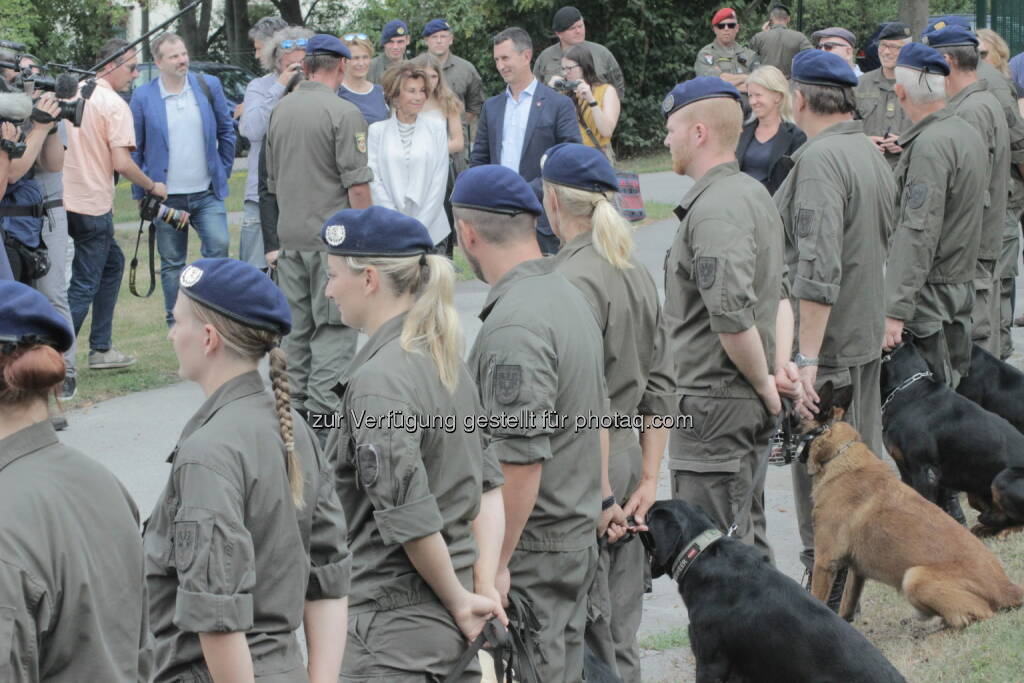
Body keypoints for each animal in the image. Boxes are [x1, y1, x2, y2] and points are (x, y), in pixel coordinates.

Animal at [798, 382, 1024, 626]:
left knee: (976, 615)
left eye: (792, 415)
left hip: (914, 577)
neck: (837, 454)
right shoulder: (856, 570)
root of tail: (1006, 587)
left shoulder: (824, 562)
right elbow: (847, 604)